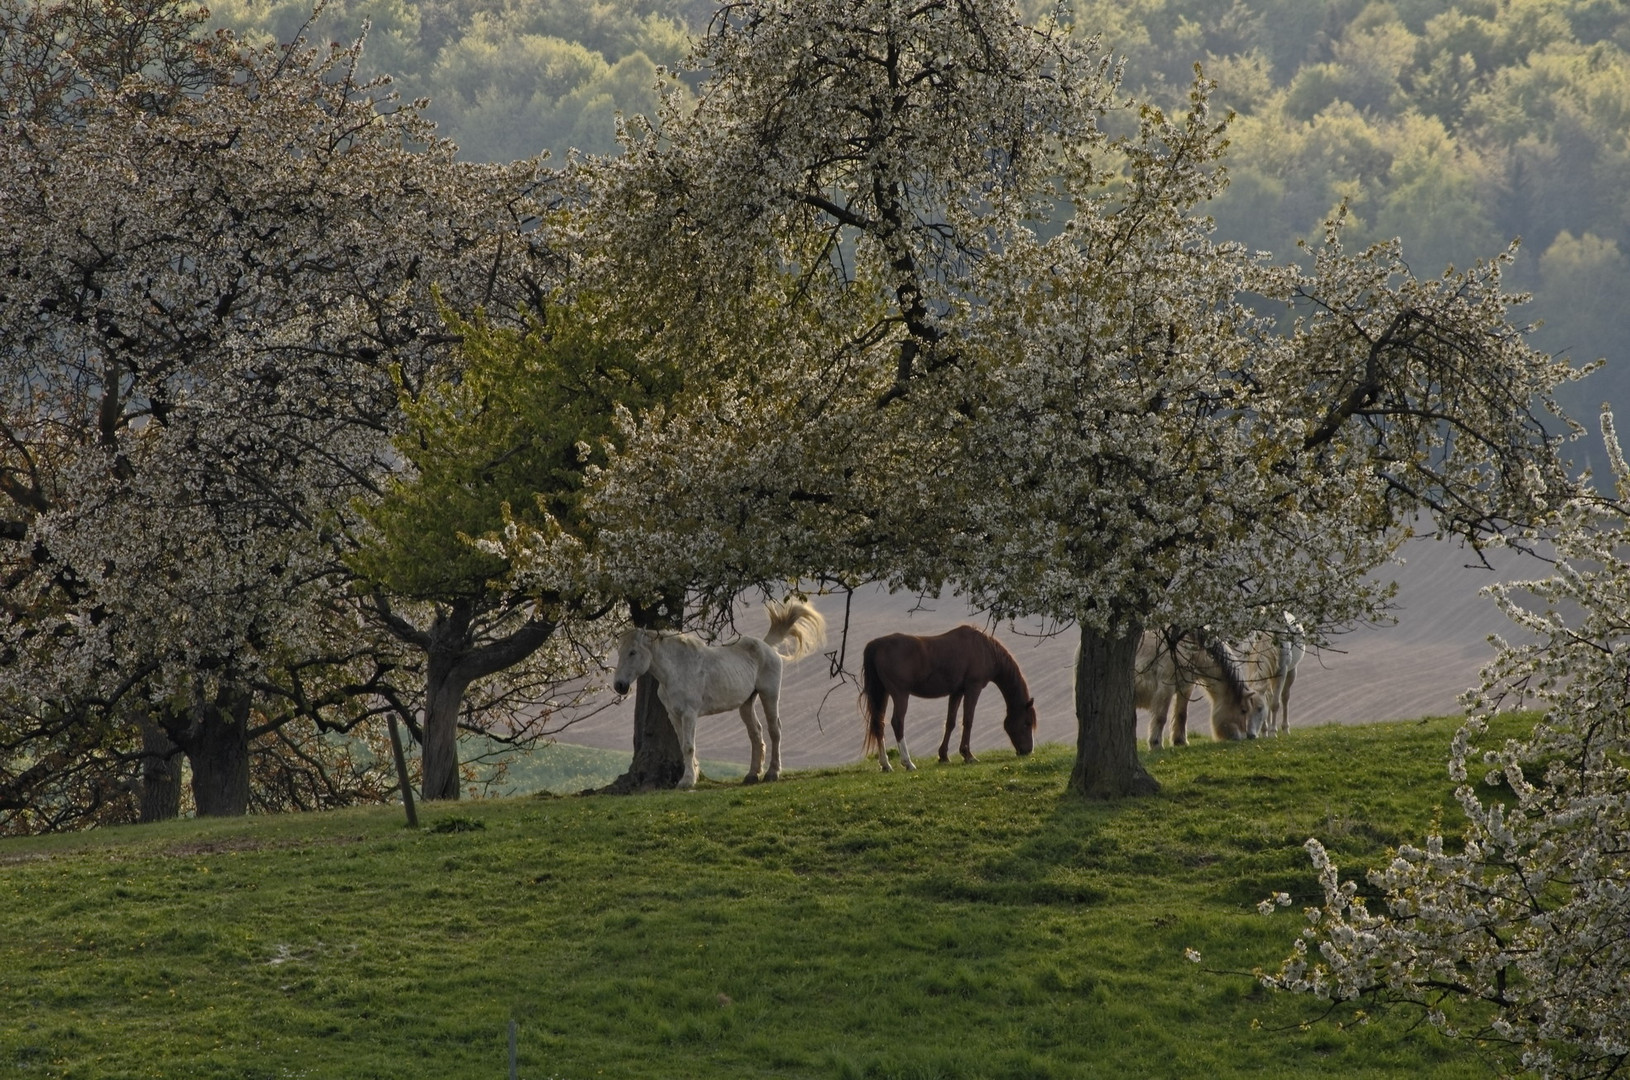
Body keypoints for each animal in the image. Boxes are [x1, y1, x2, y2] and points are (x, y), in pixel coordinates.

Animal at [609, 599, 828, 785]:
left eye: (632, 652)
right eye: (620, 652)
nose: (619, 685)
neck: (678, 669)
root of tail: (766, 646)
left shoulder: (689, 714)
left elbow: (688, 746)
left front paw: (687, 782)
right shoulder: (674, 715)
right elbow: (683, 745)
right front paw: (691, 775)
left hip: (769, 695)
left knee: (775, 730)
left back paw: (772, 773)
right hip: (746, 703)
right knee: (755, 733)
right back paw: (752, 775)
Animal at [860, 628, 1036, 772]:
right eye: (1027, 723)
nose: (1028, 751)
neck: (985, 649)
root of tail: (877, 644)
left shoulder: (957, 692)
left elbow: (950, 722)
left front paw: (944, 756)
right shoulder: (973, 688)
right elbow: (968, 720)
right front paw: (968, 755)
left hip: (882, 693)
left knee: (878, 724)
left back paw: (885, 764)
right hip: (900, 694)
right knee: (897, 722)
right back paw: (908, 763)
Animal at [1134, 628, 1271, 749]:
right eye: (1243, 710)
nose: (1242, 737)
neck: (1183, 646)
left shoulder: (1186, 688)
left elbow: (1181, 714)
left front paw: (1180, 742)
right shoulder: (1166, 687)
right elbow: (1160, 717)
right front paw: (1156, 744)